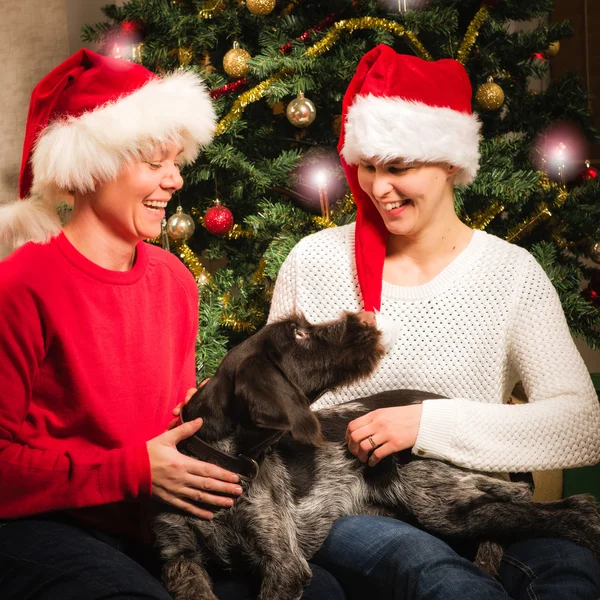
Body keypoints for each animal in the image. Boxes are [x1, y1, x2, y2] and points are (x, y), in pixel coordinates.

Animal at [154, 314, 600, 600]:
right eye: (298, 334)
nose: (363, 320)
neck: (224, 459)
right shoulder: (179, 559)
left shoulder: (284, 564)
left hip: (440, 500)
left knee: (543, 506)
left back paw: (585, 528)